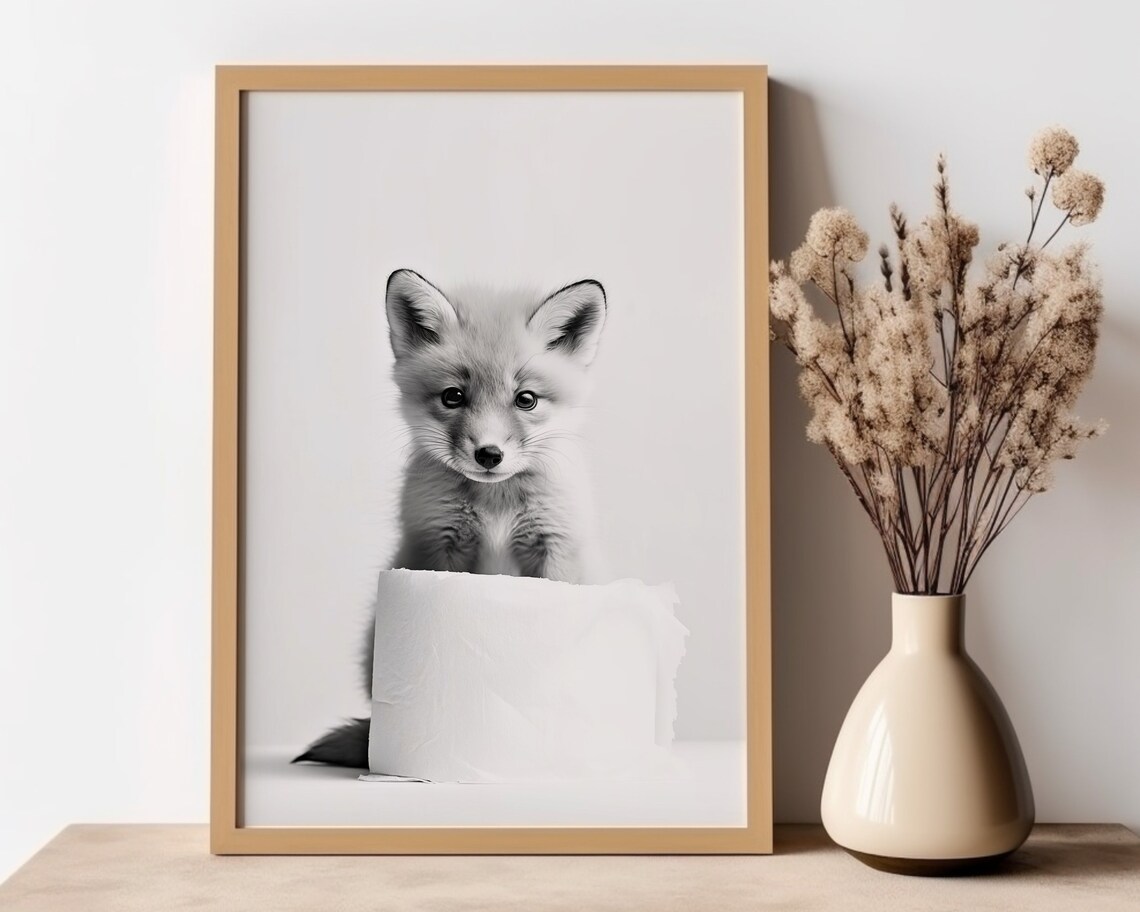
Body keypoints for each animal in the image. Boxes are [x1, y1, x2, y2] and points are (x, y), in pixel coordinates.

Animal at [294, 268, 608, 768]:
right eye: (453, 397)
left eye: (526, 399)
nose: (489, 454)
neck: (496, 503)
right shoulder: (436, 546)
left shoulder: (555, 546)